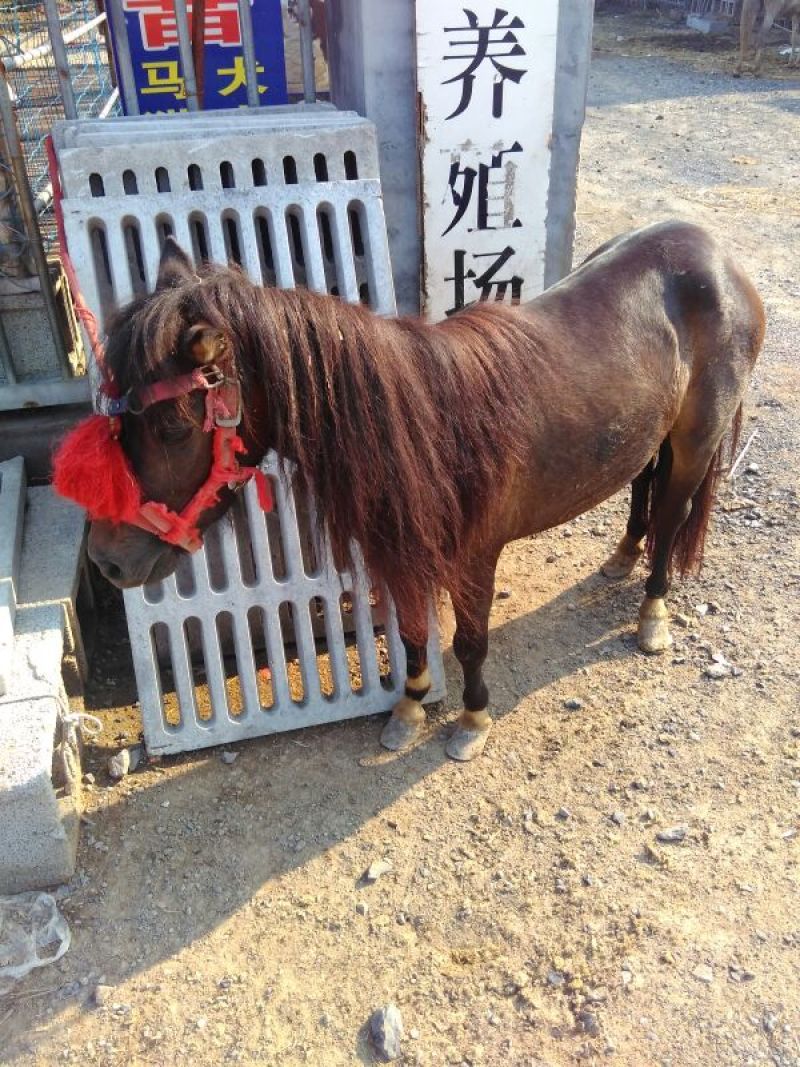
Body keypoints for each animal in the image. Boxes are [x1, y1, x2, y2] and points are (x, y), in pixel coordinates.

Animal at [69, 220, 763, 762]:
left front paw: (472, 719)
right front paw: (408, 708)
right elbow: (407, 634)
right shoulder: (398, 546)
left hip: (696, 440)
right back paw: (620, 558)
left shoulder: (475, 555)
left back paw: (652, 613)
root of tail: (715, 250)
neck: (428, 426)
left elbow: (469, 641)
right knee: (641, 482)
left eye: (171, 427)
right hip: (650, 429)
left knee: (673, 515)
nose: (106, 560)